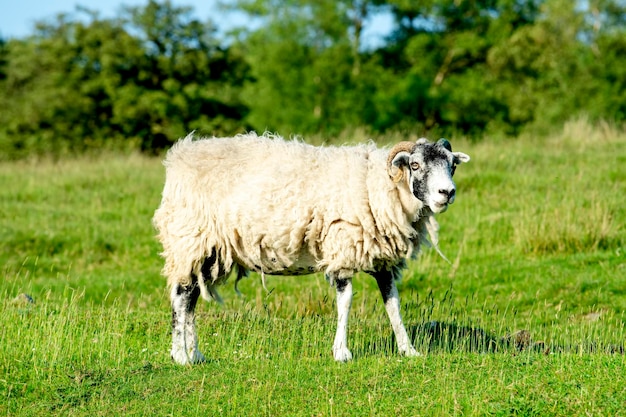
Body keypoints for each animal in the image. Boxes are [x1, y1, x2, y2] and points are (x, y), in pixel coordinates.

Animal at [154, 132, 468, 362]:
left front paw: (408, 350)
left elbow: (393, 304)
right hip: (190, 238)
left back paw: (195, 354)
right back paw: (180, 356)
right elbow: (346, 301)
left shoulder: (382, 261)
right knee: (181, 297)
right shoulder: (343, 247)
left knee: (192, 298)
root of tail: (178, 159)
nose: (447, 193)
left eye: (452, 165)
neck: (377, 186)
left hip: (207, 250)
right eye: (415, 165)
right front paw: (341, 352)